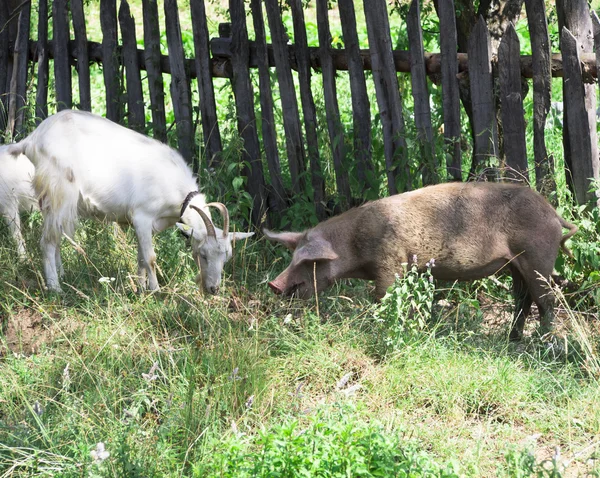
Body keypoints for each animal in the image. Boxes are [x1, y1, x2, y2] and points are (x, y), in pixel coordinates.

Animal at [6, 110, 253, 294]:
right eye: (203, 254)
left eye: (227, 257)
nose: (213, 289)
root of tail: (33, 138)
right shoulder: (142, 216)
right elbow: (151, 257)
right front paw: (155, 291)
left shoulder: (145, 225)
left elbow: (141, 257)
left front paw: (140, 288)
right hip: (59, 191)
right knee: (48, 241)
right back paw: (55, 288)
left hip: (50, 199)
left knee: (55, 236)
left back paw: (63, 276)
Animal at [266, 180, 576, 340]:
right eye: (293, 257)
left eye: (309, 261)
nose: (274, 285)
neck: (354, 245)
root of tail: (553, 213)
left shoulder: (390, 263)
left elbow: (383, 298)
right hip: (515, 265)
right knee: (523, 300)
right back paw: (511, 338)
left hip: (537, 257)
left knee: (546, 300)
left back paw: (543, 339)